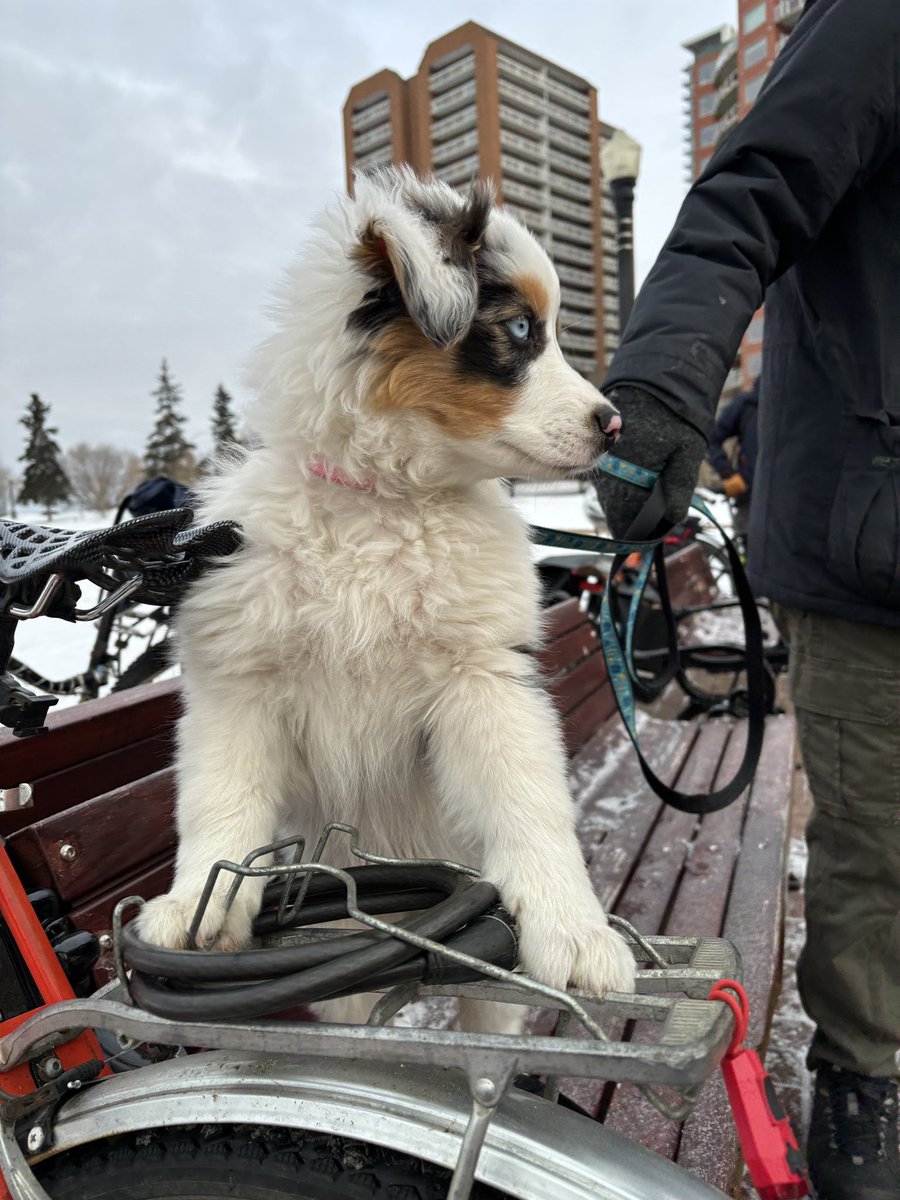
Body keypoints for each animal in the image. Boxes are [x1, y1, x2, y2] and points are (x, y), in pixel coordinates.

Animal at [139, 164, 633, 1017]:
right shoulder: (238, 683)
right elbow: (221, 799)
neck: (383, 504)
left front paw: (574, 927)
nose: (615, 424)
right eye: (520, 330)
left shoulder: (485, 681)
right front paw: (198, 901)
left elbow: (530, 802)